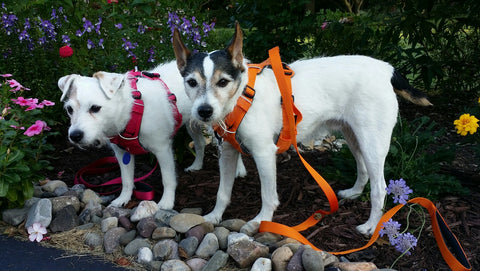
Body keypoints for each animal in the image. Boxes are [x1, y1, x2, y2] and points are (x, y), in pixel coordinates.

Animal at [58, 61, 208, 209]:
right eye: (69, 109)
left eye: (95, 108)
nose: (75, 135)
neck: (132, 109)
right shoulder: (122, 153)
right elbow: (127, 180)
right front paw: (123, 198)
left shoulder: (163, 150)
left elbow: (167, 179)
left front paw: (167, 202)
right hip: (191, 126)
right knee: (200, 144)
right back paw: (196, 166)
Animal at [172, 22, 432, 236]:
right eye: (191, 82)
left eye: (223, 82)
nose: (204, 111)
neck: (241, 97)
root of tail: (385, 69)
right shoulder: (227, 153)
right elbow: (222, 192)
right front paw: (215, 216)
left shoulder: (264, 153)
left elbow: (268, 196)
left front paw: (260, 221)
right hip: (354, 137)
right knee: (364, 170)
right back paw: (354, 193)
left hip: (372, 143)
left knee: (380, 188)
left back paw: (371, 226)